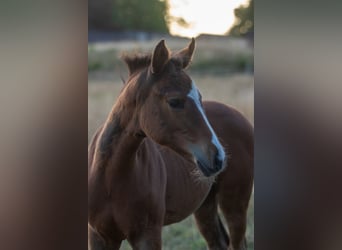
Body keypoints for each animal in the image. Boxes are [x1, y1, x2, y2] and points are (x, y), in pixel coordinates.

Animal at [88, 39, 254, 250]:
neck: (111, 178)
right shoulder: (99, 236)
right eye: (174, 101)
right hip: (205, 205)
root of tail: (241, 117)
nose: (219, 157)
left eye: (200, 98)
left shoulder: (148, 235)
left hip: (235, 204)